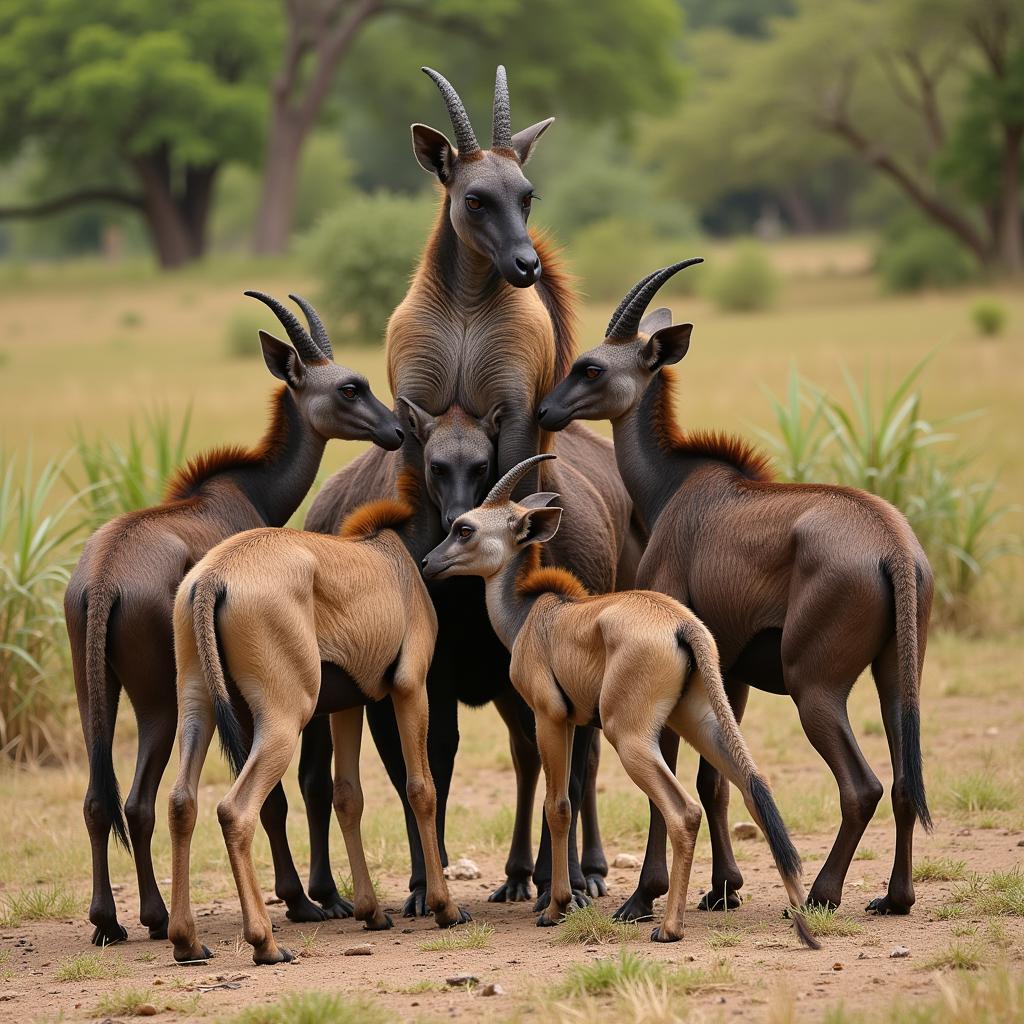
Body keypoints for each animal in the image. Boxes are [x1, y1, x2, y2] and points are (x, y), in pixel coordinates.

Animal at [61, 292, 405, 946]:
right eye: (350, 387)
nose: (398, 429)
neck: (249, 489)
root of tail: (104, 578)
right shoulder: (245, 702)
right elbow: (271, 801)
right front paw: (301, 901)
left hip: (97, 695)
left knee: (98, 800)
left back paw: (110, 921)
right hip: (161, 703)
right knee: (139, 801)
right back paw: (154, 917)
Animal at [168, 471, 471, 966]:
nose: (459, 521)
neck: (391, 549)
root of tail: (215, 576)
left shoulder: (348, 706)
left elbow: (347, 796)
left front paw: (371, 912)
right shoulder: (410, 687)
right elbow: (421, 789)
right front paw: (444, 907)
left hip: (198, 707)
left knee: (181, 803)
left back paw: (186, 941)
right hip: (284, 719)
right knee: (235, 810)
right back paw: (265, 943)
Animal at [421, 456, 815, 950]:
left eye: (465, 528)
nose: (428, 562)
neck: (534, 615)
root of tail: (682, 626)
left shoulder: (551, 719)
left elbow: (558, 806)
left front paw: (556, 907)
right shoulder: (574, 724)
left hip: (629, 738)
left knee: (685, 811)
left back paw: (669, 926)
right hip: (701, 724)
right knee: (754, 788)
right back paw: (800, 917)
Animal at [540, 262, 933, 921]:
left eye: (590, 368)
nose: (545, 410)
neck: (672, 485)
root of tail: (894, 545)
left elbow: (674, 782)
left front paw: (644, 896)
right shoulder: (730, 674)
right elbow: (716, 780)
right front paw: (724, 888)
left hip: (813, 686)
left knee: (863, 786)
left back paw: (821, 893)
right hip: (893, 679)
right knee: (904, 780)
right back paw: (895, 897)